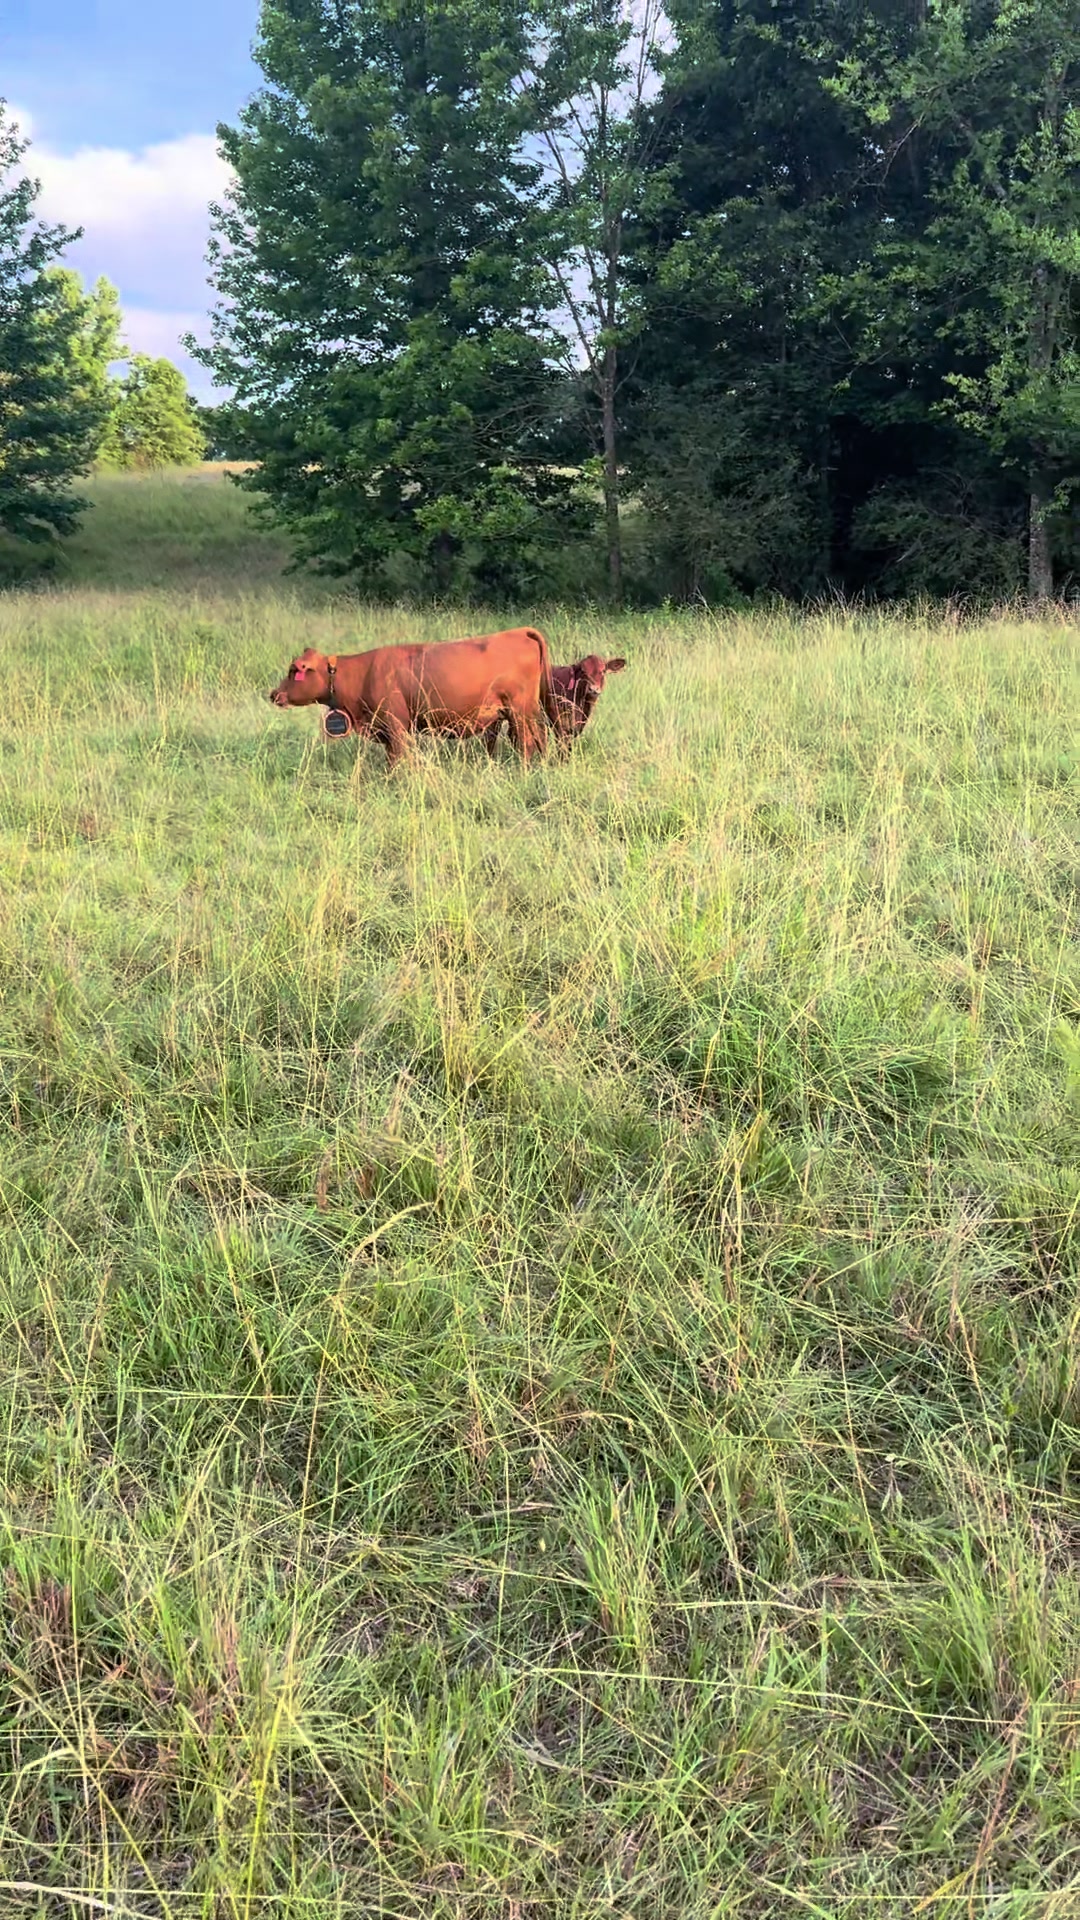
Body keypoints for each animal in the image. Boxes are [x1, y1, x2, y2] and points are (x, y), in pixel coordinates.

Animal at [269, 626, 560, 768]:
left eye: (294, 670)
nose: (274, 694)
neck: (364, 673)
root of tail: (519, 631)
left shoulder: (395, 725)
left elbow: (398, 758)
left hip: (519, 712)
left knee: (527, 744)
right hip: (526, 713)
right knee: (540, 740)